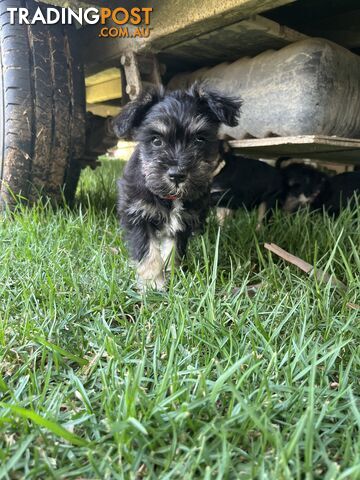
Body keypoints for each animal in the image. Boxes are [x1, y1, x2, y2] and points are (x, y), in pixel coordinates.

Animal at [113, 84, 242, 290]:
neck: (170, 197)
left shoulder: (183, 223)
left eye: (199, 139)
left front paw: (172, 275)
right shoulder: (138, 216)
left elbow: (173, 250)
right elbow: (148, 253)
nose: (177, 175)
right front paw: (153, 284)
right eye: (156, 140)